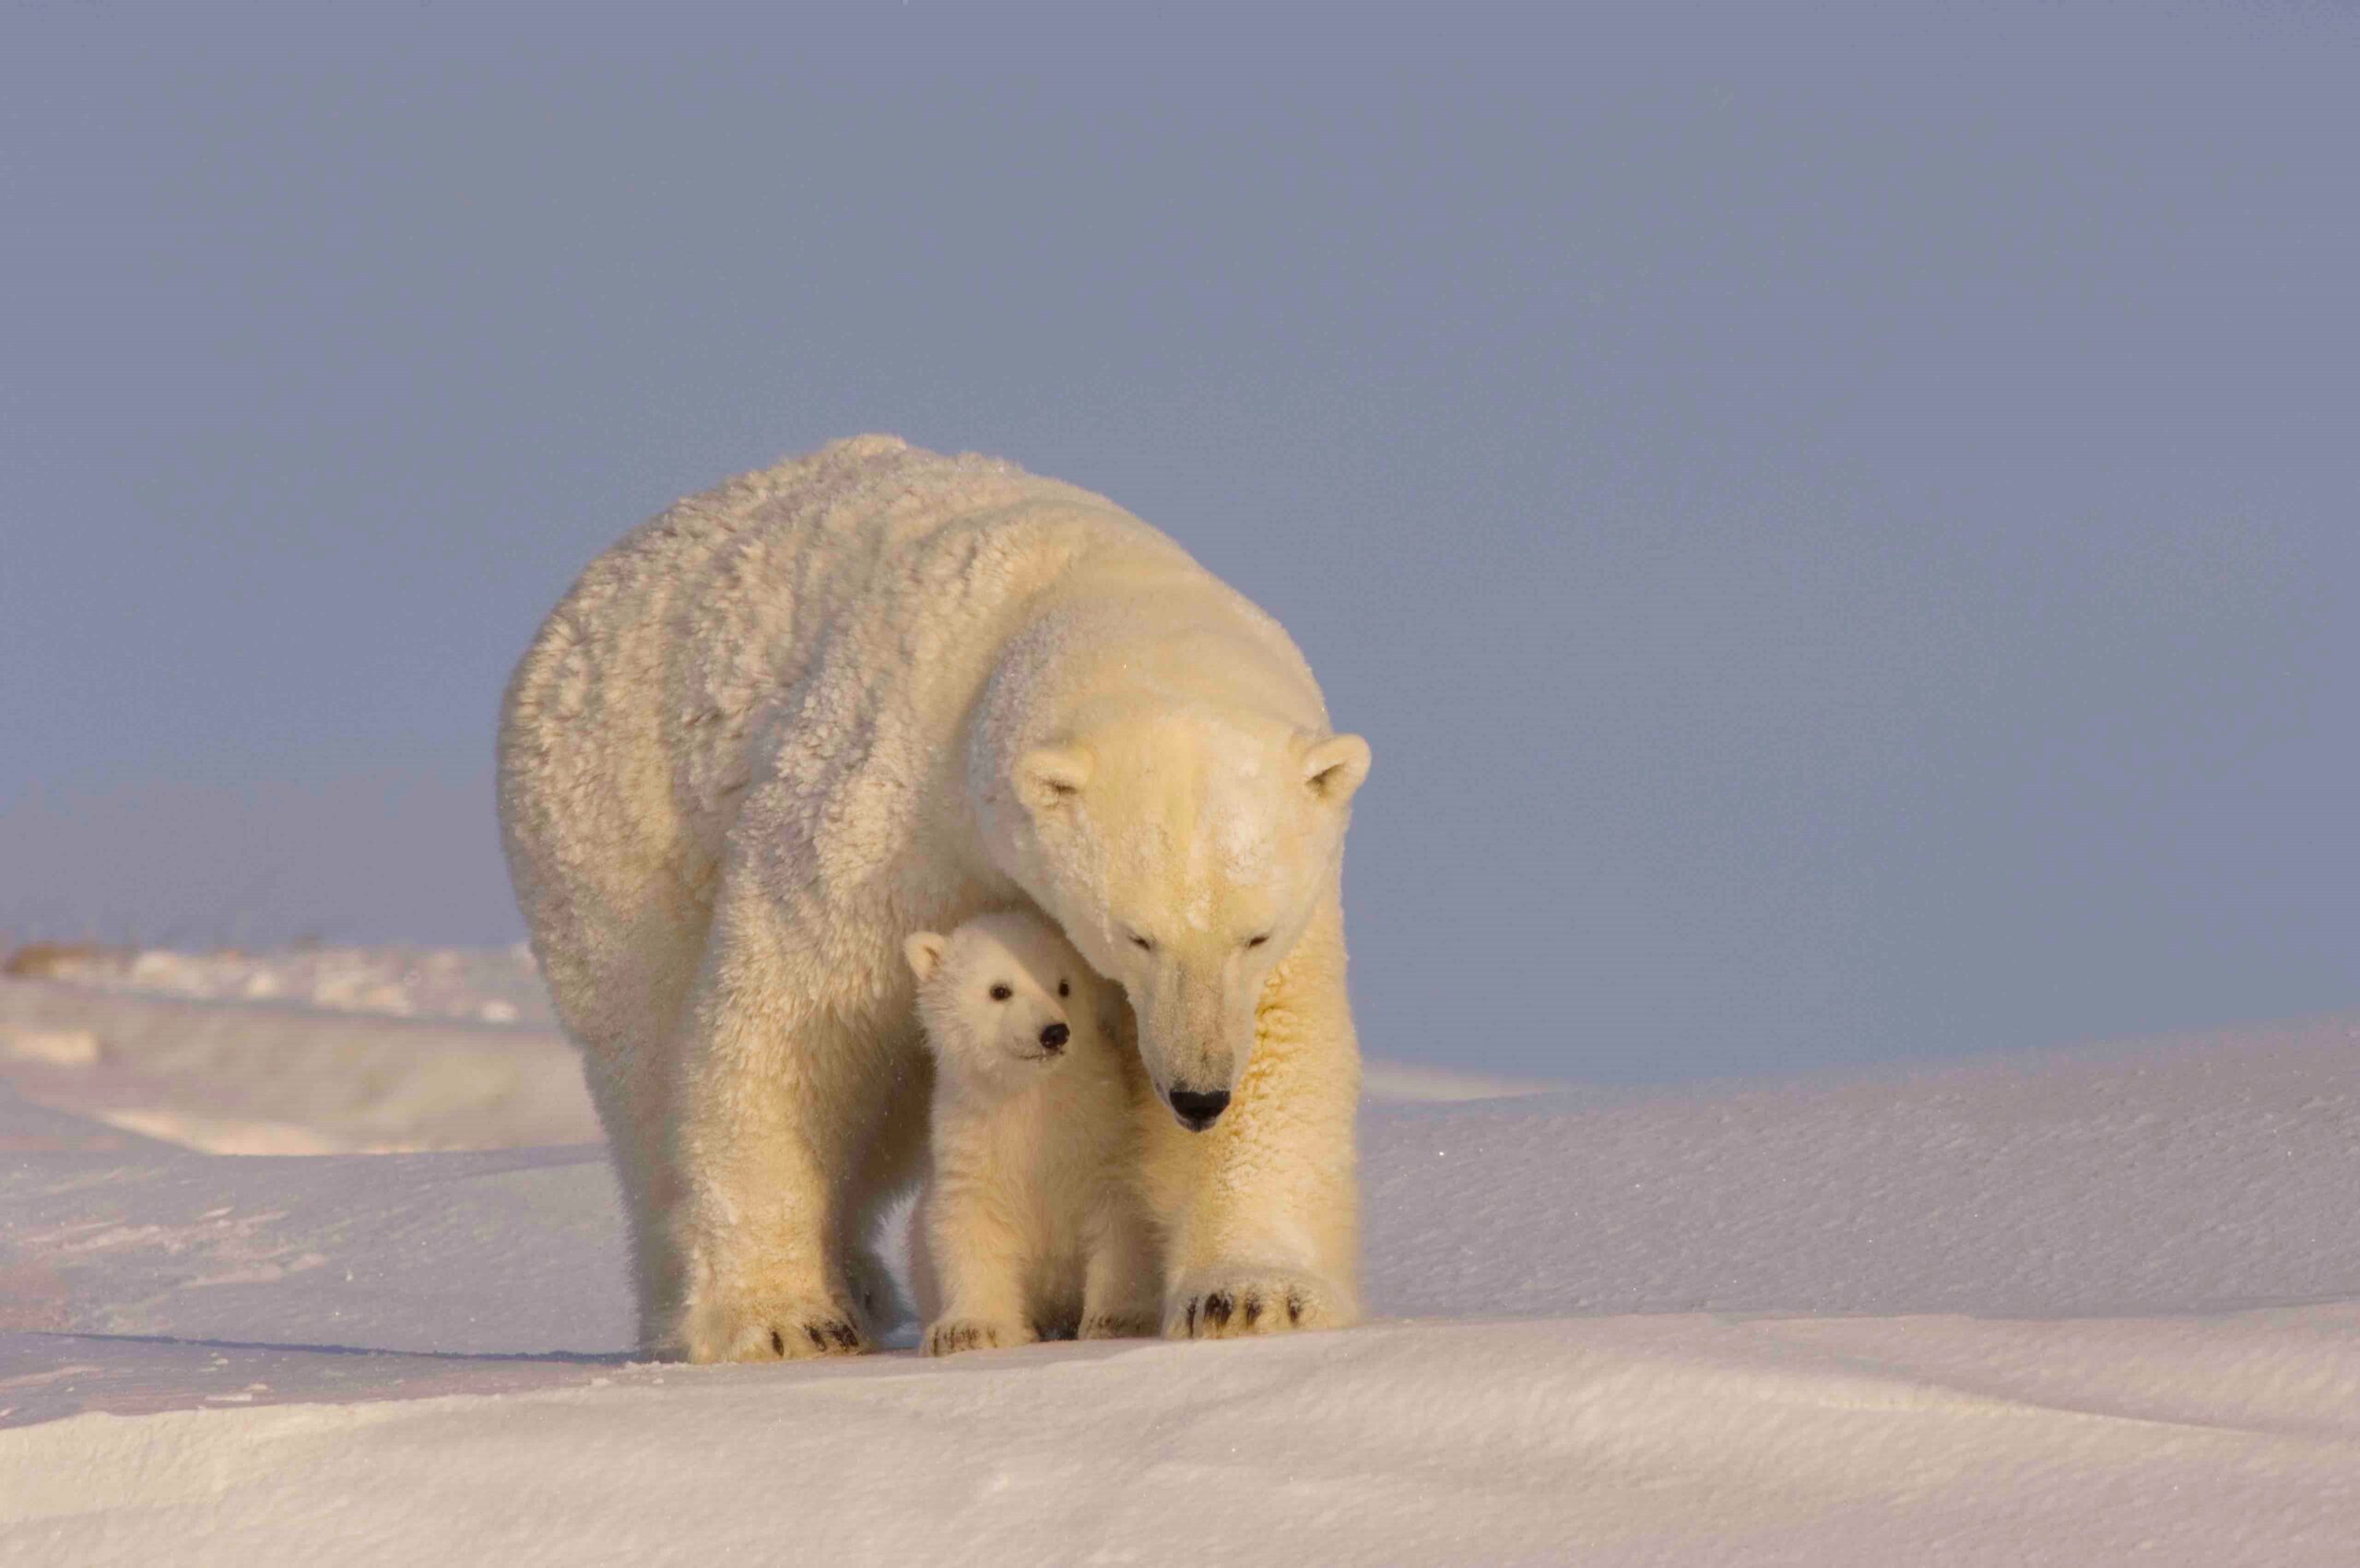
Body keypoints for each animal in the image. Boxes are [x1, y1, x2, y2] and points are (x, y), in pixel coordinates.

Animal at [507, 436, 1378, 1360]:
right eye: (1135, 935)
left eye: (1256, 934)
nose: (1198, 1094)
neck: (1073, 582)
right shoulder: (886, 805)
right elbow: (792, 1016)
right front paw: (782, 1319)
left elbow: (1283, 1040)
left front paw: (1250, 1296)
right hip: (612, 833)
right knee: (648, 1064)